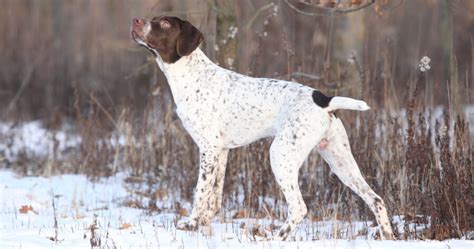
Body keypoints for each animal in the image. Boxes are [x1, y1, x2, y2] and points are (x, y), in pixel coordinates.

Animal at [131, 15, 394, 239]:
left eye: (165, 23)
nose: (136, 21)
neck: (191, 75)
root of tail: (324, 99)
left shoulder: (208, 148)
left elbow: (201, 193)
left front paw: (192, 223)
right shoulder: (221, 151)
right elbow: (214, 197)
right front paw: (204, 225)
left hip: (281, 155)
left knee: (299, 208)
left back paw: (275, 238)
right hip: (341, 162)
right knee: (377, 200)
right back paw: (389, 237)